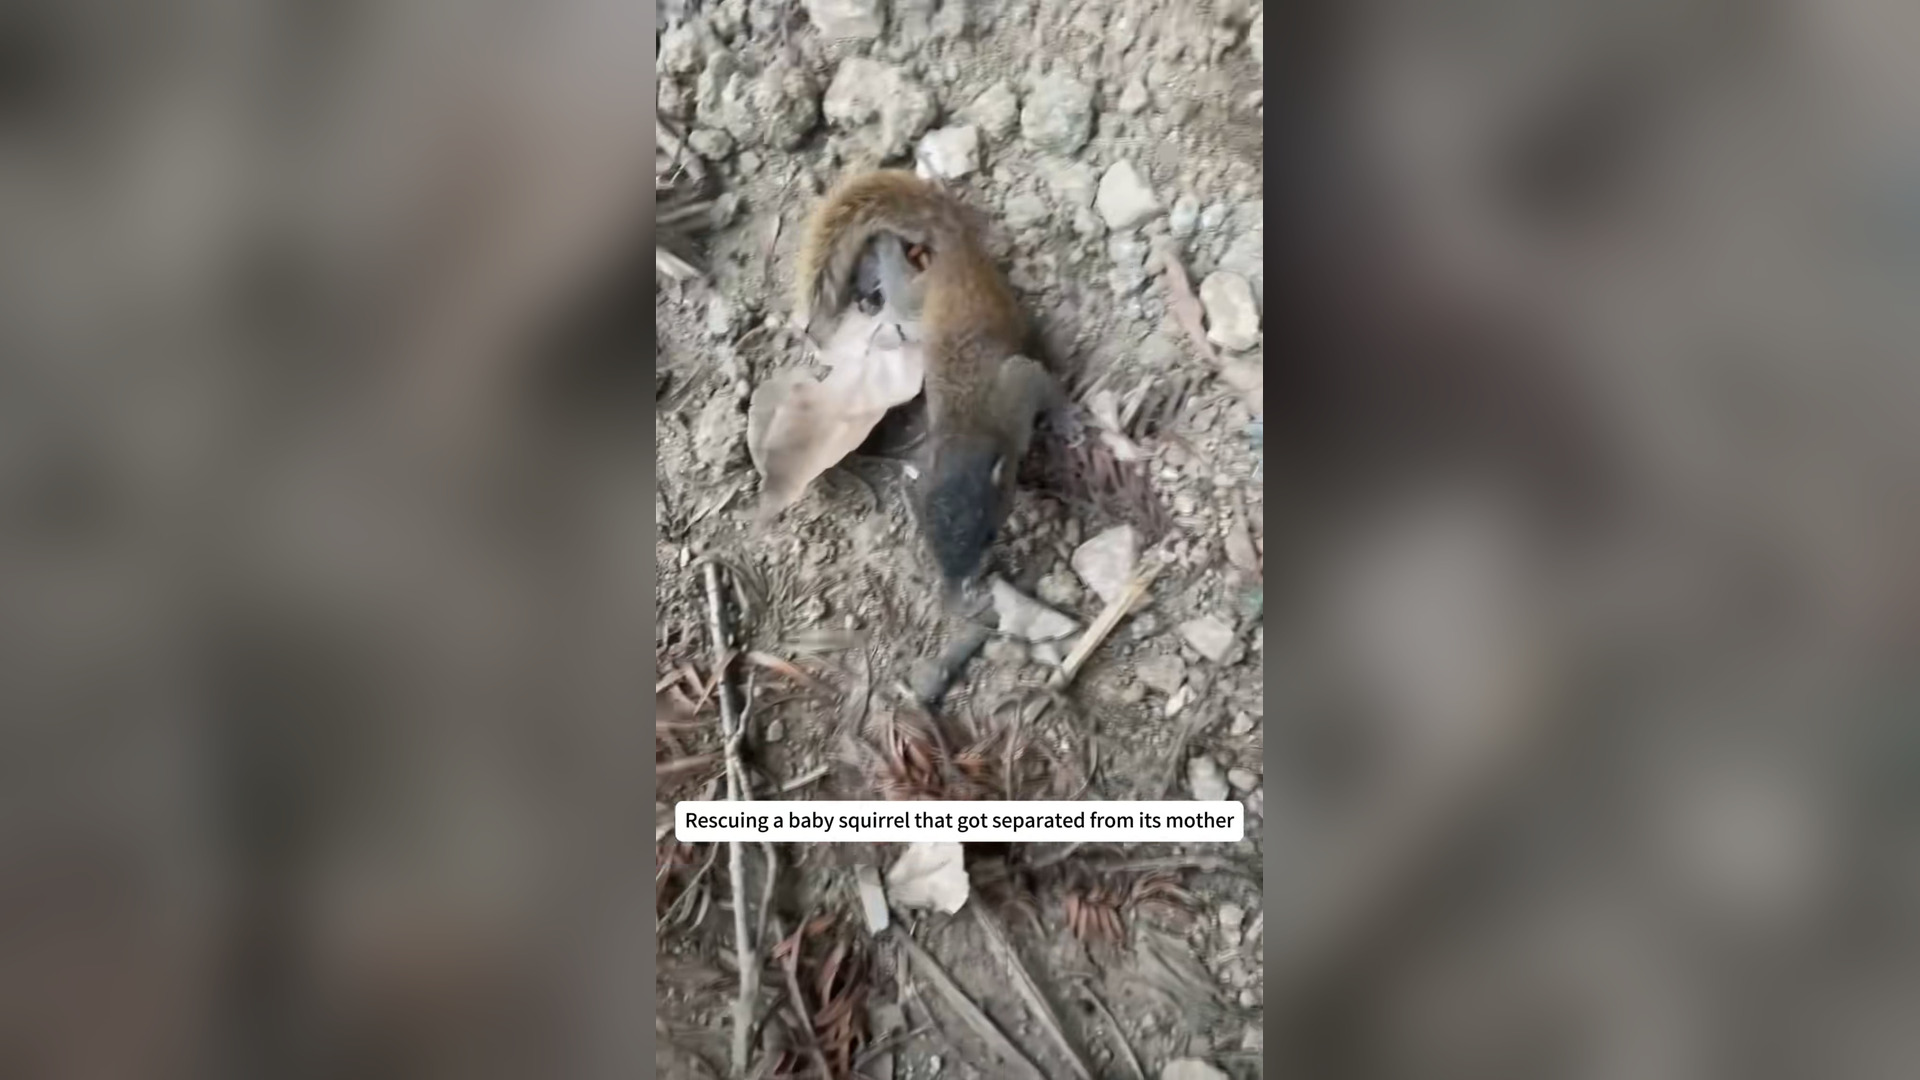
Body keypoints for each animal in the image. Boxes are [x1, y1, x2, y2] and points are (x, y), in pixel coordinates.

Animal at [795, 170, 1061, 594]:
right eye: (928, 541)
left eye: (989, 533)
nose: (955, 591)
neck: (968, 427)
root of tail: (953, 246)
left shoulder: (1017, 393)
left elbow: (1042, 384)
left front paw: (1069, 419)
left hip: (919, 299)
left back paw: (885, 248)